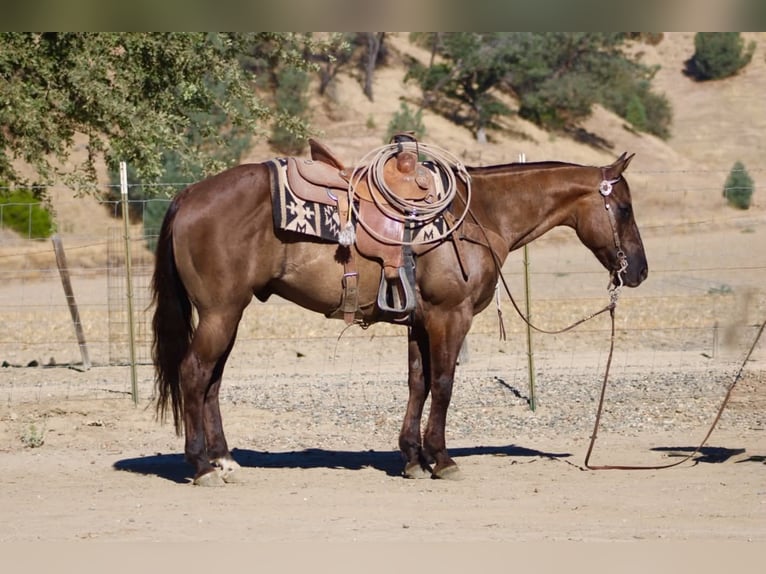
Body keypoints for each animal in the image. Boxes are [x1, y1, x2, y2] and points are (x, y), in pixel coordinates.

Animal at [151, 142, 648, 486]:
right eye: (624, 208)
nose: (640, 270)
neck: (481, 215)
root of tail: (189, 194)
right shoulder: (451, 316)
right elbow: (443, 384)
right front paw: (442, 459)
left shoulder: (420, 321)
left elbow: (418, 383)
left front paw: (413, 458)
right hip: (219, 313)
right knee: (194, 373)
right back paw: (201, 466)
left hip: (228, 314)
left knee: (212, 381)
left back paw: (224, 459)